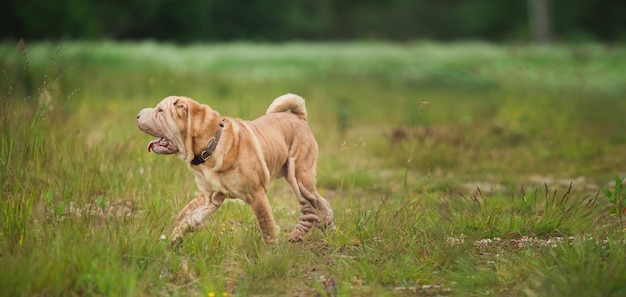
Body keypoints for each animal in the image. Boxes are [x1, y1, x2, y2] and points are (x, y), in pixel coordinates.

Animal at [135, 93, 334, 244]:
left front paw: (270, 256)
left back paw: (321, 232)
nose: (137, 114)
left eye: (160, 111)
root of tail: (298, 117)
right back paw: (316, 232)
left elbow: (267, 227)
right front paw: (174, 237)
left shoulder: (256, 195)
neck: (210, 145)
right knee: (315, 204)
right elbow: (188, 217)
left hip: (299, 176)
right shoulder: (209, 198)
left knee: (314, 204)